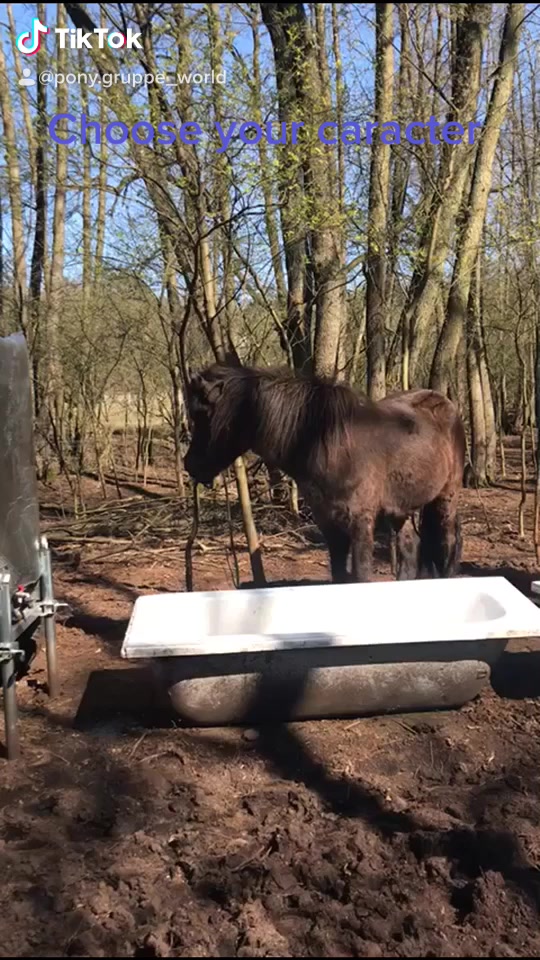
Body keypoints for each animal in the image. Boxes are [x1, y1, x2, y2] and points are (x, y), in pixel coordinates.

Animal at [183, 363, 466, 584]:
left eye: (204, 415)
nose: (190, 465)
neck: (329, 445)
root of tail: (445, 403)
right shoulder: (329, 524)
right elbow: (339, 576)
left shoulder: (360, 523)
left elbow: (361, 576)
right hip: (399, 510)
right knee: (411, 549)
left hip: (446, 498)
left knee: (449, 545)